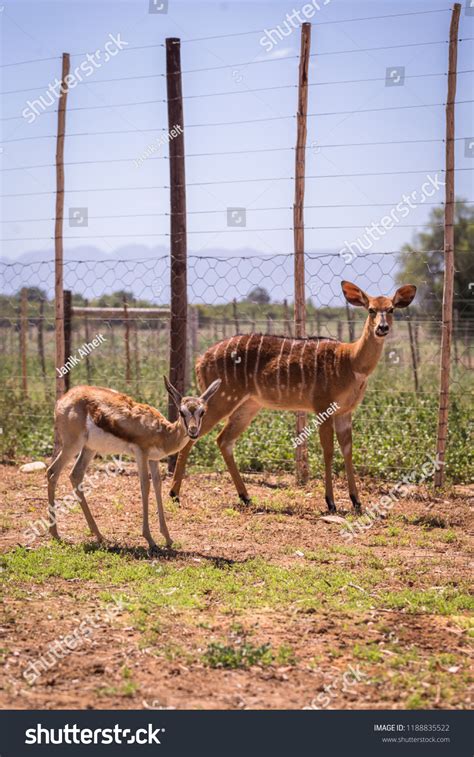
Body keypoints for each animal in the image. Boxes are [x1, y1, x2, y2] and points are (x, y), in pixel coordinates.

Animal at [46, 378, 220, 548]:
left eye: (202, 412)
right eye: (181, 412)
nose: (193, 431)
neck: (163, 432)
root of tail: (63, 398)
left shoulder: (154, 459)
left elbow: (157, 486)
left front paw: (168, 538)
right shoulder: (141, 454)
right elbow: (145, 486)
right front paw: (150, 539)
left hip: (89, 448)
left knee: (75, 475)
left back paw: (100, 536)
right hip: (72, 445)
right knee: (52, 472)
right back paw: (55, 534)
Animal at [169, 282, 414, 512]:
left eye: (391, 309)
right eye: (371, 309)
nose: (382, 328)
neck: (351, 361)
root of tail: (200, 360)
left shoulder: (346, 411)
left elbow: (347, 449)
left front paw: (356, 501)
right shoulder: (323, 406)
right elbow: (328, 451)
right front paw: (331, 502)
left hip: (248, 405)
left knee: (223, 440)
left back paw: (246, 497)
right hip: (221, 399)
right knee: (192, 436)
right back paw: (174, 494)